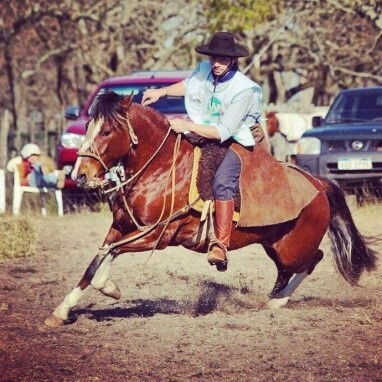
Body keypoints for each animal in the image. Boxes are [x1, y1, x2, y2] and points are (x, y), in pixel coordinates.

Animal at [44, 93, 376, 328]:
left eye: (107, 131)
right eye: (88, 127)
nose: (80, 175)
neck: (162, 166)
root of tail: (317, 184)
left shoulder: (156, 236)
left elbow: (109, 256)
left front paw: (110, 289)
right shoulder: (122, 227)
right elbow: (96, 260)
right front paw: (61, 310)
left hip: (294, 247)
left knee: (312, 260)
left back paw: (278, 303)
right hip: (273, 244)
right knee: (286, 270)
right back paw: (272, 299)